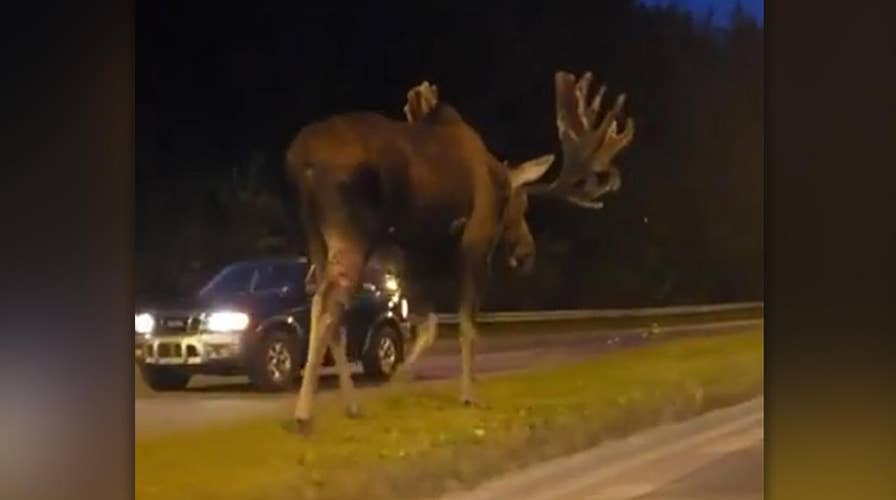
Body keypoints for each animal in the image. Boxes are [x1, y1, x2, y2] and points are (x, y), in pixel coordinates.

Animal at [282, 71, 635, 434]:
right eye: (520, 205)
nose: (526, 252)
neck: (497, 180)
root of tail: (299, 158)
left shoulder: (414, 251)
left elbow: (428, 323)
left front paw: (398, 380)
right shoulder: (474, 241)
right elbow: (467, 323)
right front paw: (468, 394)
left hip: (315, 234)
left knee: (322, 301)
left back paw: (350, 405)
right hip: (352, 230)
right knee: (327, 303)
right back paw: (304, 413)